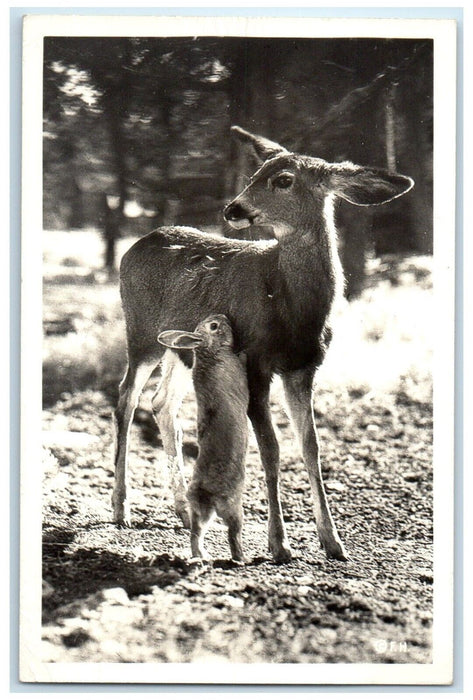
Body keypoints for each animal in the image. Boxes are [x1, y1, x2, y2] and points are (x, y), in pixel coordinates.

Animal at [158, 314, 247, 564]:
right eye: (214, 326)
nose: (223, 316)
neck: (209, 351)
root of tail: (205, 491)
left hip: (201, 512)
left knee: (196, 533)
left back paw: (202, 556)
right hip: (233, 506)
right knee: (233, 533)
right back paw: (240, 559)